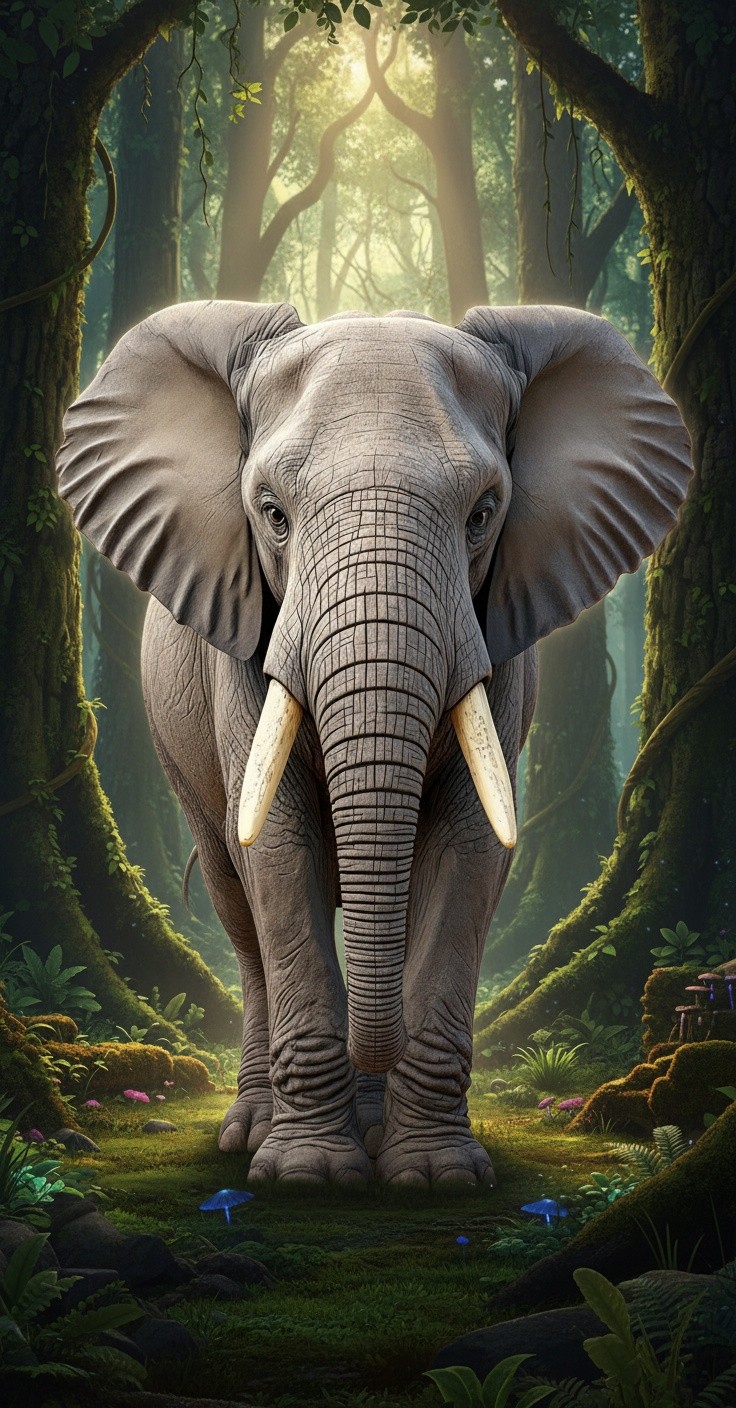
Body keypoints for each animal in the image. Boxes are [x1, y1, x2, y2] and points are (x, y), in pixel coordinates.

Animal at [57, 301, 691, 1187]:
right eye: (272, 514)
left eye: (483, 514)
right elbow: (277, 848)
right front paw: (310, 1177)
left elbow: (470, 845)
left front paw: (434, 1176)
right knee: (234, 898)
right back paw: (253, 1130)